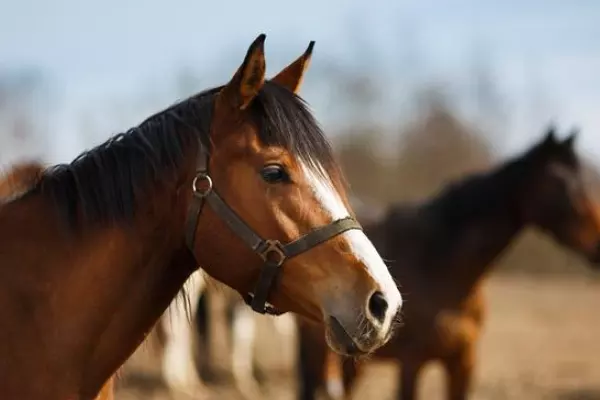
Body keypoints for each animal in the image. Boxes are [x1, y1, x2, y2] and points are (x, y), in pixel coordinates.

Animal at [296, 127, 600, 400]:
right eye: (560, 182)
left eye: (585, 181)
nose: (597, 246)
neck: (441, 265)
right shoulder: (412, 364)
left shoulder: (463, 364)